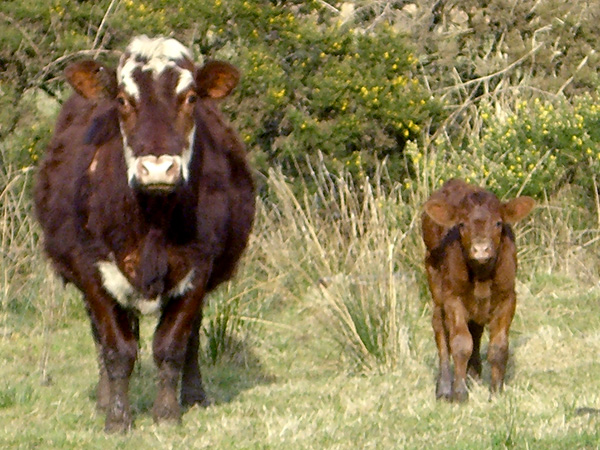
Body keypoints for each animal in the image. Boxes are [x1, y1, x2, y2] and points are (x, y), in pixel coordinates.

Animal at [34, 36, 255, 432]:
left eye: (191, 98)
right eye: (123, 99)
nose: (157, 168)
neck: (151, 221)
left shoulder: (198, 266)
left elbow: (172, 344)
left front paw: (167, 413)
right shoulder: (92, 270)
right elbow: (116, 348)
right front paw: (117, 417)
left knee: (193, 336)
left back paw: (193, 395)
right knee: (100, 339)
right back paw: (104, 398)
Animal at [422, 181, 536, 402]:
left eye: (498, 223)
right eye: (462, 224)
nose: (481, 249)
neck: (482, 275)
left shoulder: (508, 297)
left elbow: (499, 346)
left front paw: (496, 391)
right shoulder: (453, 297)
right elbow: (460, 343)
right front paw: (459, 393)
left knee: (475, 329)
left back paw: (473, 374)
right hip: (435, 283)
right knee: (440, 328)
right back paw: (444, 387)